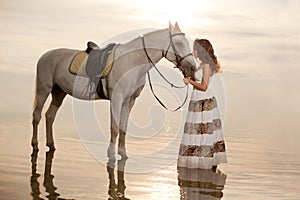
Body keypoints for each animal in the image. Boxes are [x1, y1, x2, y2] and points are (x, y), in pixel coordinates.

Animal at [31, 21, 196, 160]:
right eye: (179, 43)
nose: (192, 67)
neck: (132, 61)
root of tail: (44, 56)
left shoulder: (129, 101)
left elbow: (123, 127)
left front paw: (123, 153)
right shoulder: (117, 98)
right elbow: (115, 127)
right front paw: (111, 154)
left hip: (59, 92)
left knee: (50, 116)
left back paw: (51, 145)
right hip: (44, 89)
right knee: (37, 115)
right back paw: (35, 146)